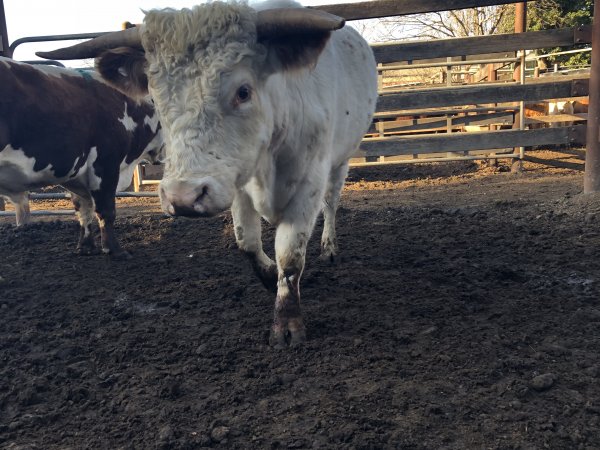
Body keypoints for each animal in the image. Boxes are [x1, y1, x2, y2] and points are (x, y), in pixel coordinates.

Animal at [0, 58, 163, 258]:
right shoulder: (106, 163)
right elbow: (106, 210)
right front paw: (114, 250)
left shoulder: (77, 175)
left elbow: (83, 208)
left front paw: (85, 246)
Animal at [39, 0, 380, 348]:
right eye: (155, 97)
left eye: (243, 91)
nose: (183, 197)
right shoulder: (237, 186)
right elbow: (247, 243)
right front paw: (268, 276)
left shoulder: (307, 184)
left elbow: (290, 257)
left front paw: (287, 323)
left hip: (341, 161)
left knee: (331, 204)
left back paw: (329, 248)